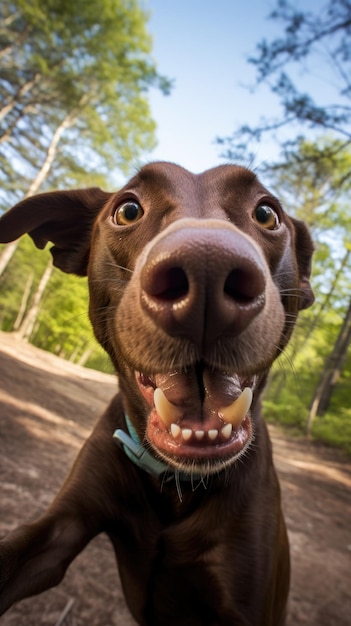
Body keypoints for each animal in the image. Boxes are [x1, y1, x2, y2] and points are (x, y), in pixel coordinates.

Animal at [0, 163, 314, 620]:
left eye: (267, 214)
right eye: (128, 210)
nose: (207, 267)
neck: (177, 483)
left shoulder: (248, 598)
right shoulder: (61, 529)